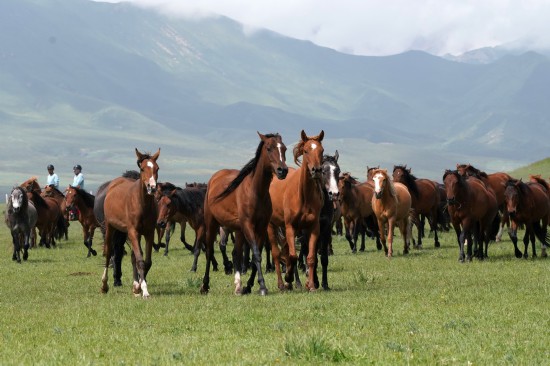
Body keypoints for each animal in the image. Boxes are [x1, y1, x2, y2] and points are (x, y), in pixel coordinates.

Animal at [101, 148, 160, 298]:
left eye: (157, 168)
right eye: (143, 168)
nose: (152, 187)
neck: (141, 204)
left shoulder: (149, 233)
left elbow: (146, 262)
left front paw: (137, 287)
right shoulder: (133, 232)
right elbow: (140, 260)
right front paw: (144, 290)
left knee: (133, 257)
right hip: (110, 227)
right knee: (108, 253)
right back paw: (104, 285)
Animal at [202, 133, 288, 296]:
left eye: (284, 148)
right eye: (269, 148)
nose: (282, 170)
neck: (256, 192)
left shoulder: (261, 227)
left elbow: (255, 256)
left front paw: (248, 286)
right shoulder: (248, 225)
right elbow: (256, 254)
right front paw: (262, 287)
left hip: (238, 230)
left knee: (236, 253)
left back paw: (238, 286)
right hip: (212, 224)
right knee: (209, 252)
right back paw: (204, 285)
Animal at [268, 130, 326, 290]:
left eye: (322, 150)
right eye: (306, 151)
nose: (316, 170)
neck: (303, 195)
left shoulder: (313, 227)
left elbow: (310, 258)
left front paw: (311, 285)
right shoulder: (290, 227)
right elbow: (293, 256)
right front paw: (288, 277)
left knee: (285, 250)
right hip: (272, 226)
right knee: (277, 254)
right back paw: (282, 284)